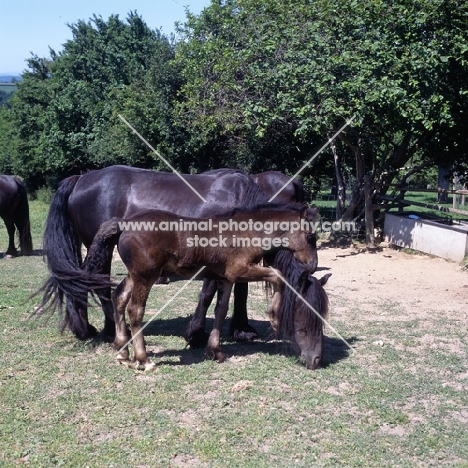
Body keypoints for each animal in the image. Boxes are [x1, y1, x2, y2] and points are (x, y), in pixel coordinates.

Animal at [39, 166, 318, 342]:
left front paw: (241, 330)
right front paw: (196, 333)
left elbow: (240, 291)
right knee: (93, 284)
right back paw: (101, 330)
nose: (315, 359)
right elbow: (208, 293)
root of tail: (81, 179)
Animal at [79, 204, 326, 370]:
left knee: (119, 298)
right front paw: (274, 317)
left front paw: (215, 351)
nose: (312, 266)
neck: (245, 233)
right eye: (310, 236)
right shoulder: (241, 271)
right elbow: (278, 276)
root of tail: (125, 223)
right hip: (145, 276)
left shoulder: (226, 279)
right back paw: (144, 359)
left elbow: (221, 311)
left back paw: (122, 352)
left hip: (134, 275)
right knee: (135, 310)